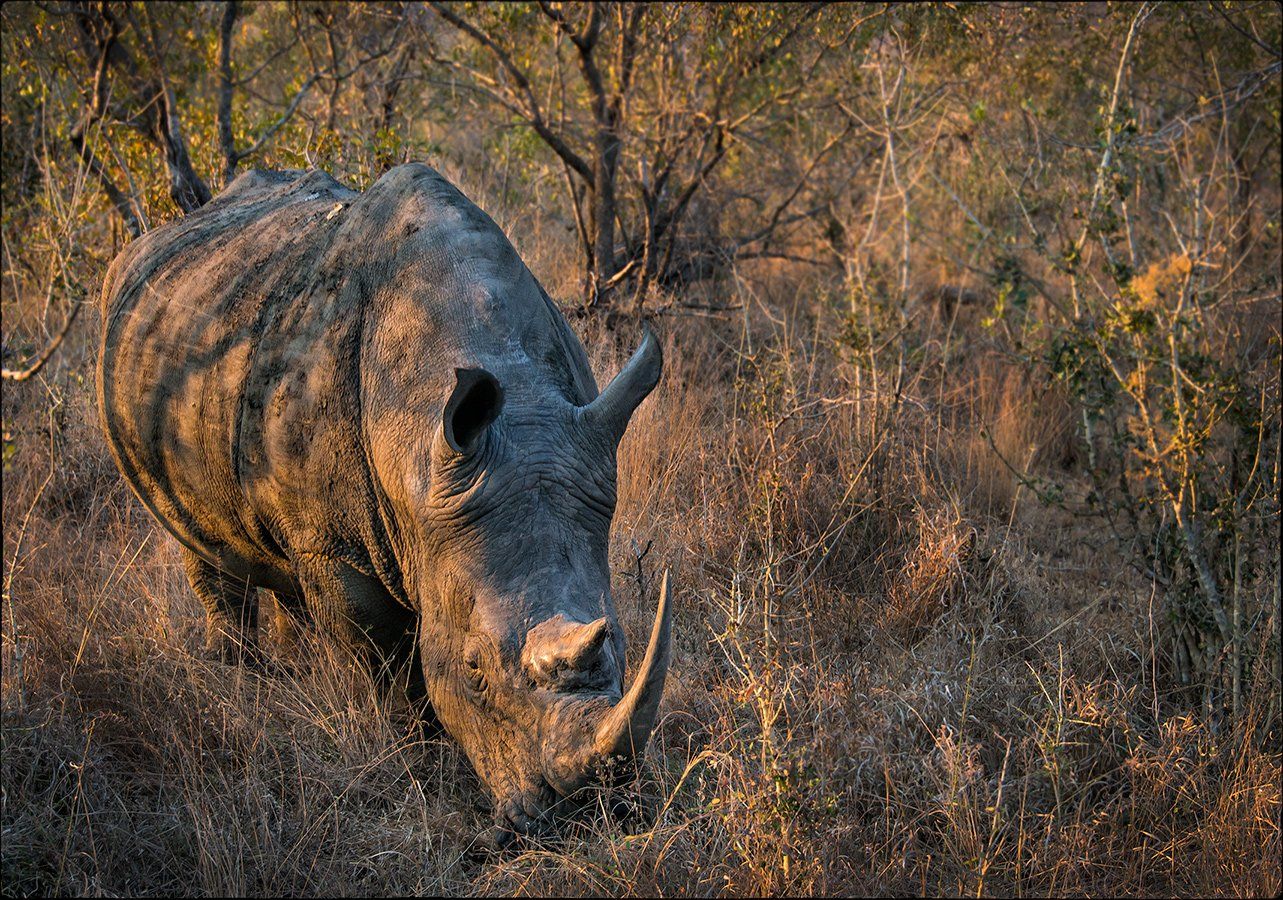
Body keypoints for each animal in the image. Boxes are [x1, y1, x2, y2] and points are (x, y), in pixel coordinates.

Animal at [96, 163, 671, 846]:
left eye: (619, 644)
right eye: (474, 671)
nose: (585, 812)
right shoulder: (337, 544)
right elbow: (380, 653)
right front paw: (413, 755)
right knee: (199, 540)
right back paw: (241, 677)